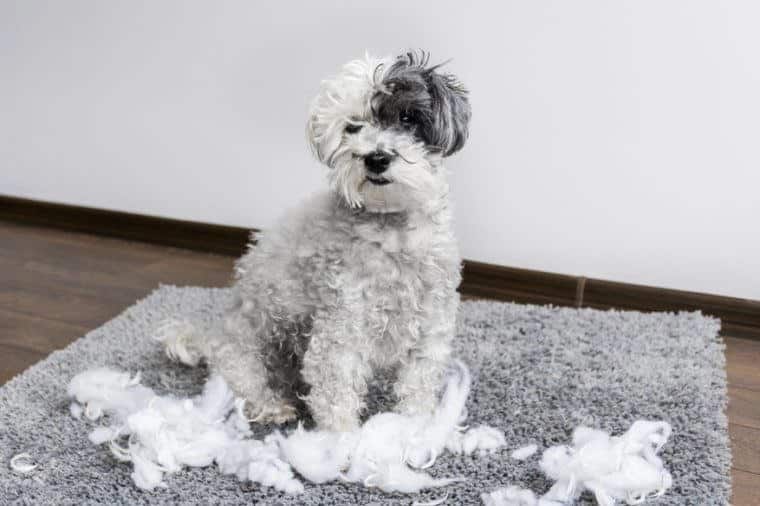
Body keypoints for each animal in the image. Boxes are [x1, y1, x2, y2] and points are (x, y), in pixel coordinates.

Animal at [162, 50, 470, 430]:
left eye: (407, 117)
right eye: (352, 127)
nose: (376, 158)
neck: (393, 232)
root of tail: (213, 340)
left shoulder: (431, 328)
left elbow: (417, 387)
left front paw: (416, 432)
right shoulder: (340, 330)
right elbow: (336, 396)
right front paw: (345, 442)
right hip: (247, 350)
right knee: (247, 384)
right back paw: (273, 406)